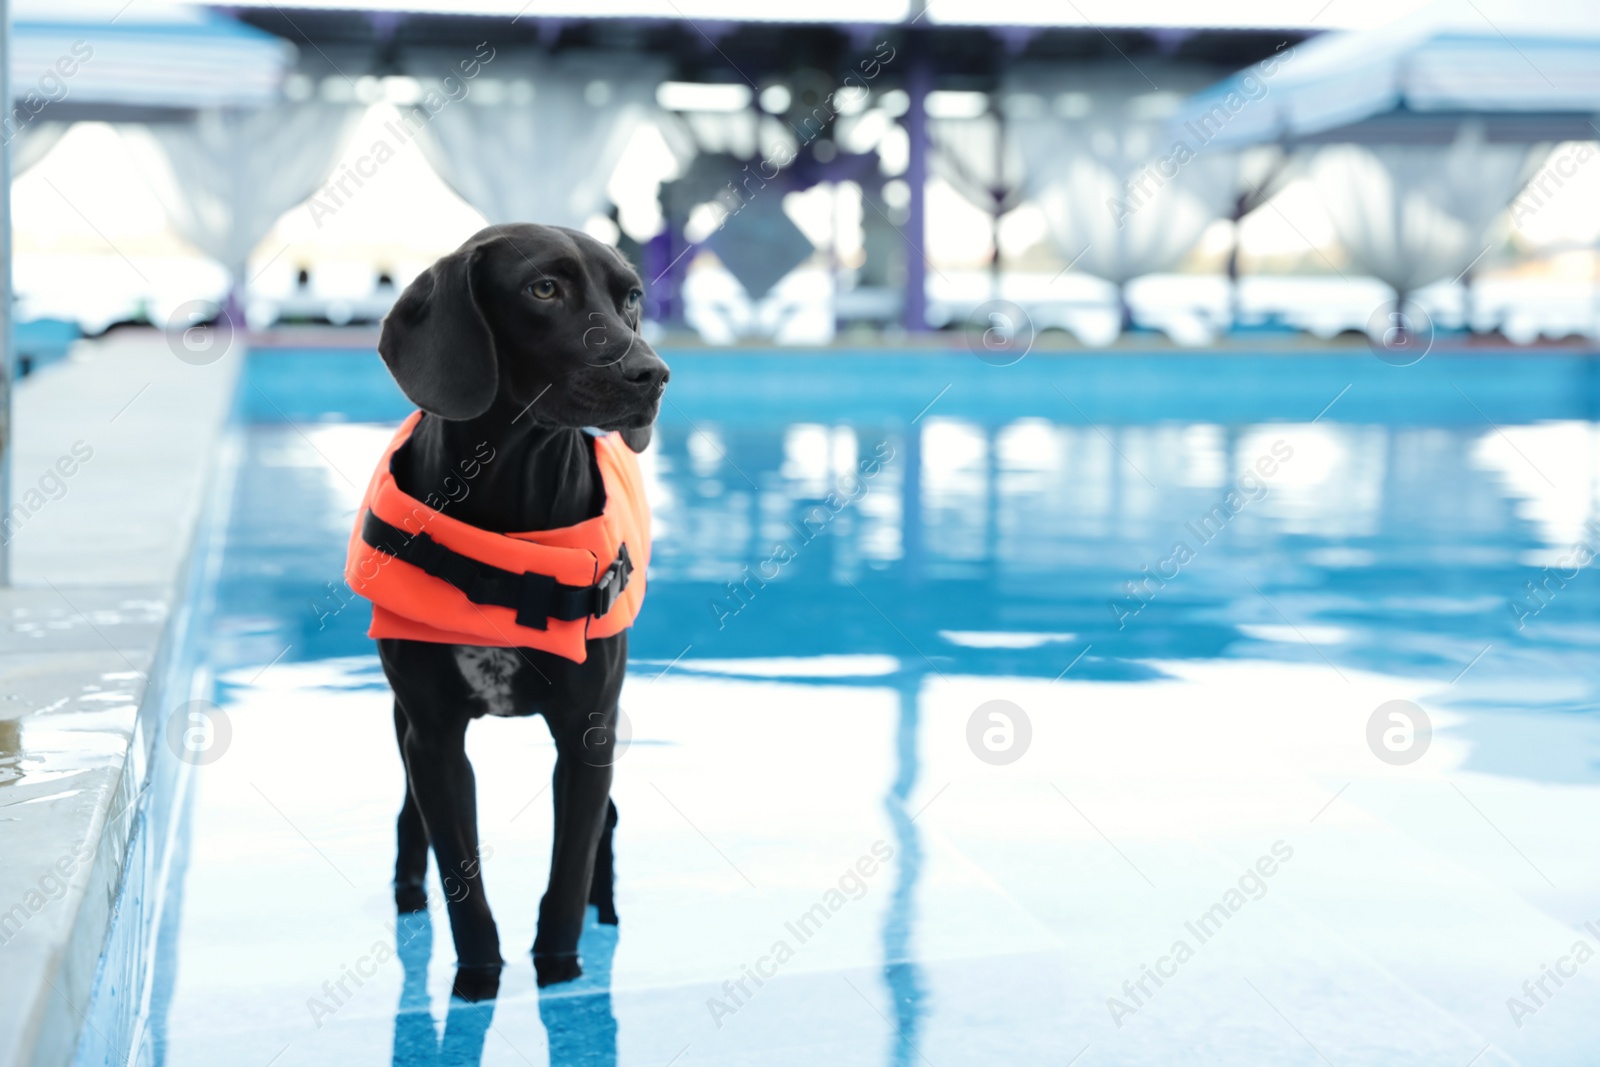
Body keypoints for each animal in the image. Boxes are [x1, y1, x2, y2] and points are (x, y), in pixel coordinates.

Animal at [371, 225, 665, 1004]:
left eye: (631, 297)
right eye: (544, 289)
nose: (652, 373)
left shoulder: (588, 732)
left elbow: (567, 871)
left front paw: (559, 972)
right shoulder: (435, 734)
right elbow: (460, 875)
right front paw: (477, 980)